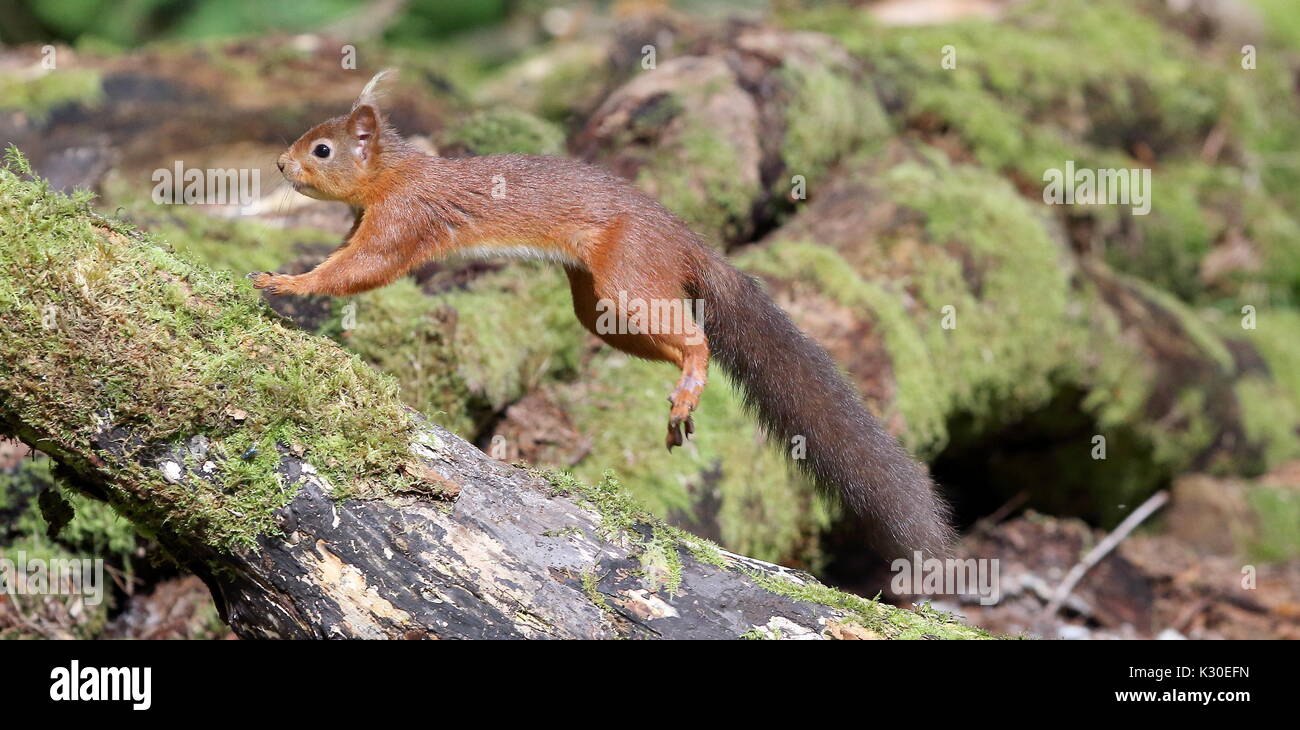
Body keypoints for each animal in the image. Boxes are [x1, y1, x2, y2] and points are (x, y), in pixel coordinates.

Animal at [253, 71, 956, 553]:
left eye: (322, 149)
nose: (280, 163)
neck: (396, 175)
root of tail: (687, 243)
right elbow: (350, 258)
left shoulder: (404, 219)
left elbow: (364, 269)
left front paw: (287, 280)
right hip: (600, 310)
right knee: (667, 339)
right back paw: (681, 402)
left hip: (626, 278)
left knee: (697, 337)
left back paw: (690, 383)